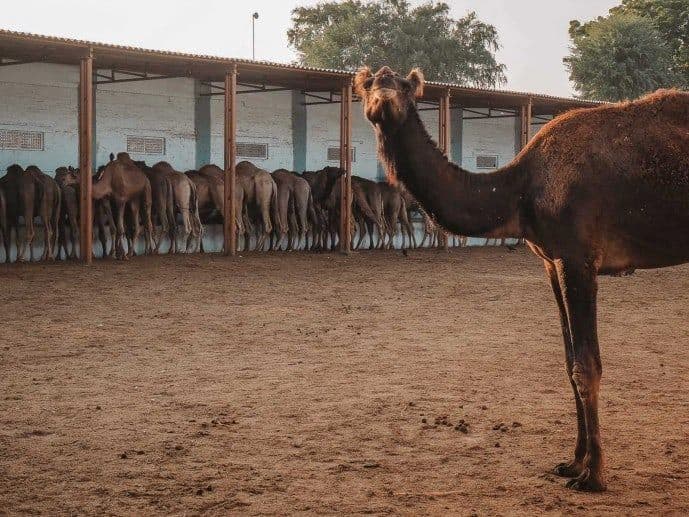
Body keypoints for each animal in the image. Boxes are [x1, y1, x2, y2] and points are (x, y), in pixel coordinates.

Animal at [355, 65, 689, 492]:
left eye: (402, 87)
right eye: (369, 86)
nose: (383, 100)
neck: (521, 189)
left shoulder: (578, 256)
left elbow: (586, 365)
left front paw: (594, 476)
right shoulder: (551, 261)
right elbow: (569, 363)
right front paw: (573, 463)